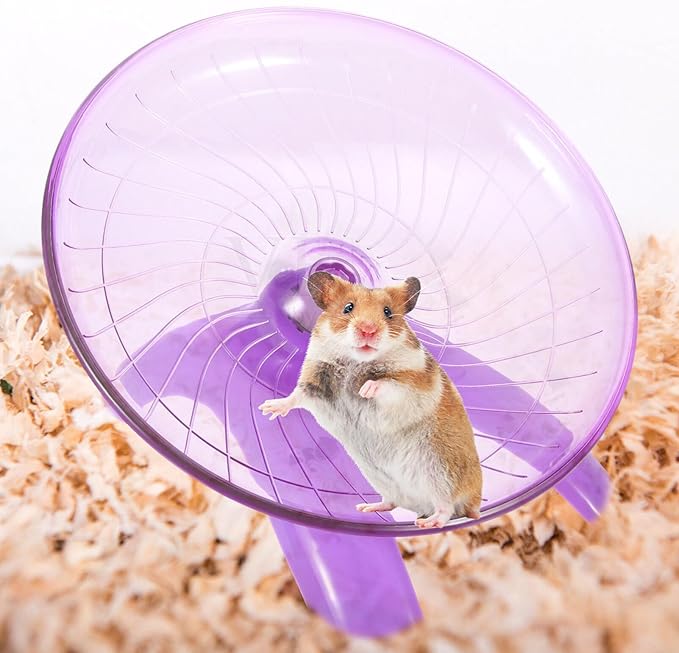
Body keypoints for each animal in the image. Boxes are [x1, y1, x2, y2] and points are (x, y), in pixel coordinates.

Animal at [258, 271, 482, 528]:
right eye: (348, 308)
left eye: (388, 312)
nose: (368, 330)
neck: (356, 361)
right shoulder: (315, 382)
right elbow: (296, 396)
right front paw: (267, 409)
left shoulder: (412, 383)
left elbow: (388, 384)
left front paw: (365, 389)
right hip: (383, 480)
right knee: (393, 502)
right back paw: (366, 507)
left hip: (441, 474)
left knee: (447, 508)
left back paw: (428, 523)